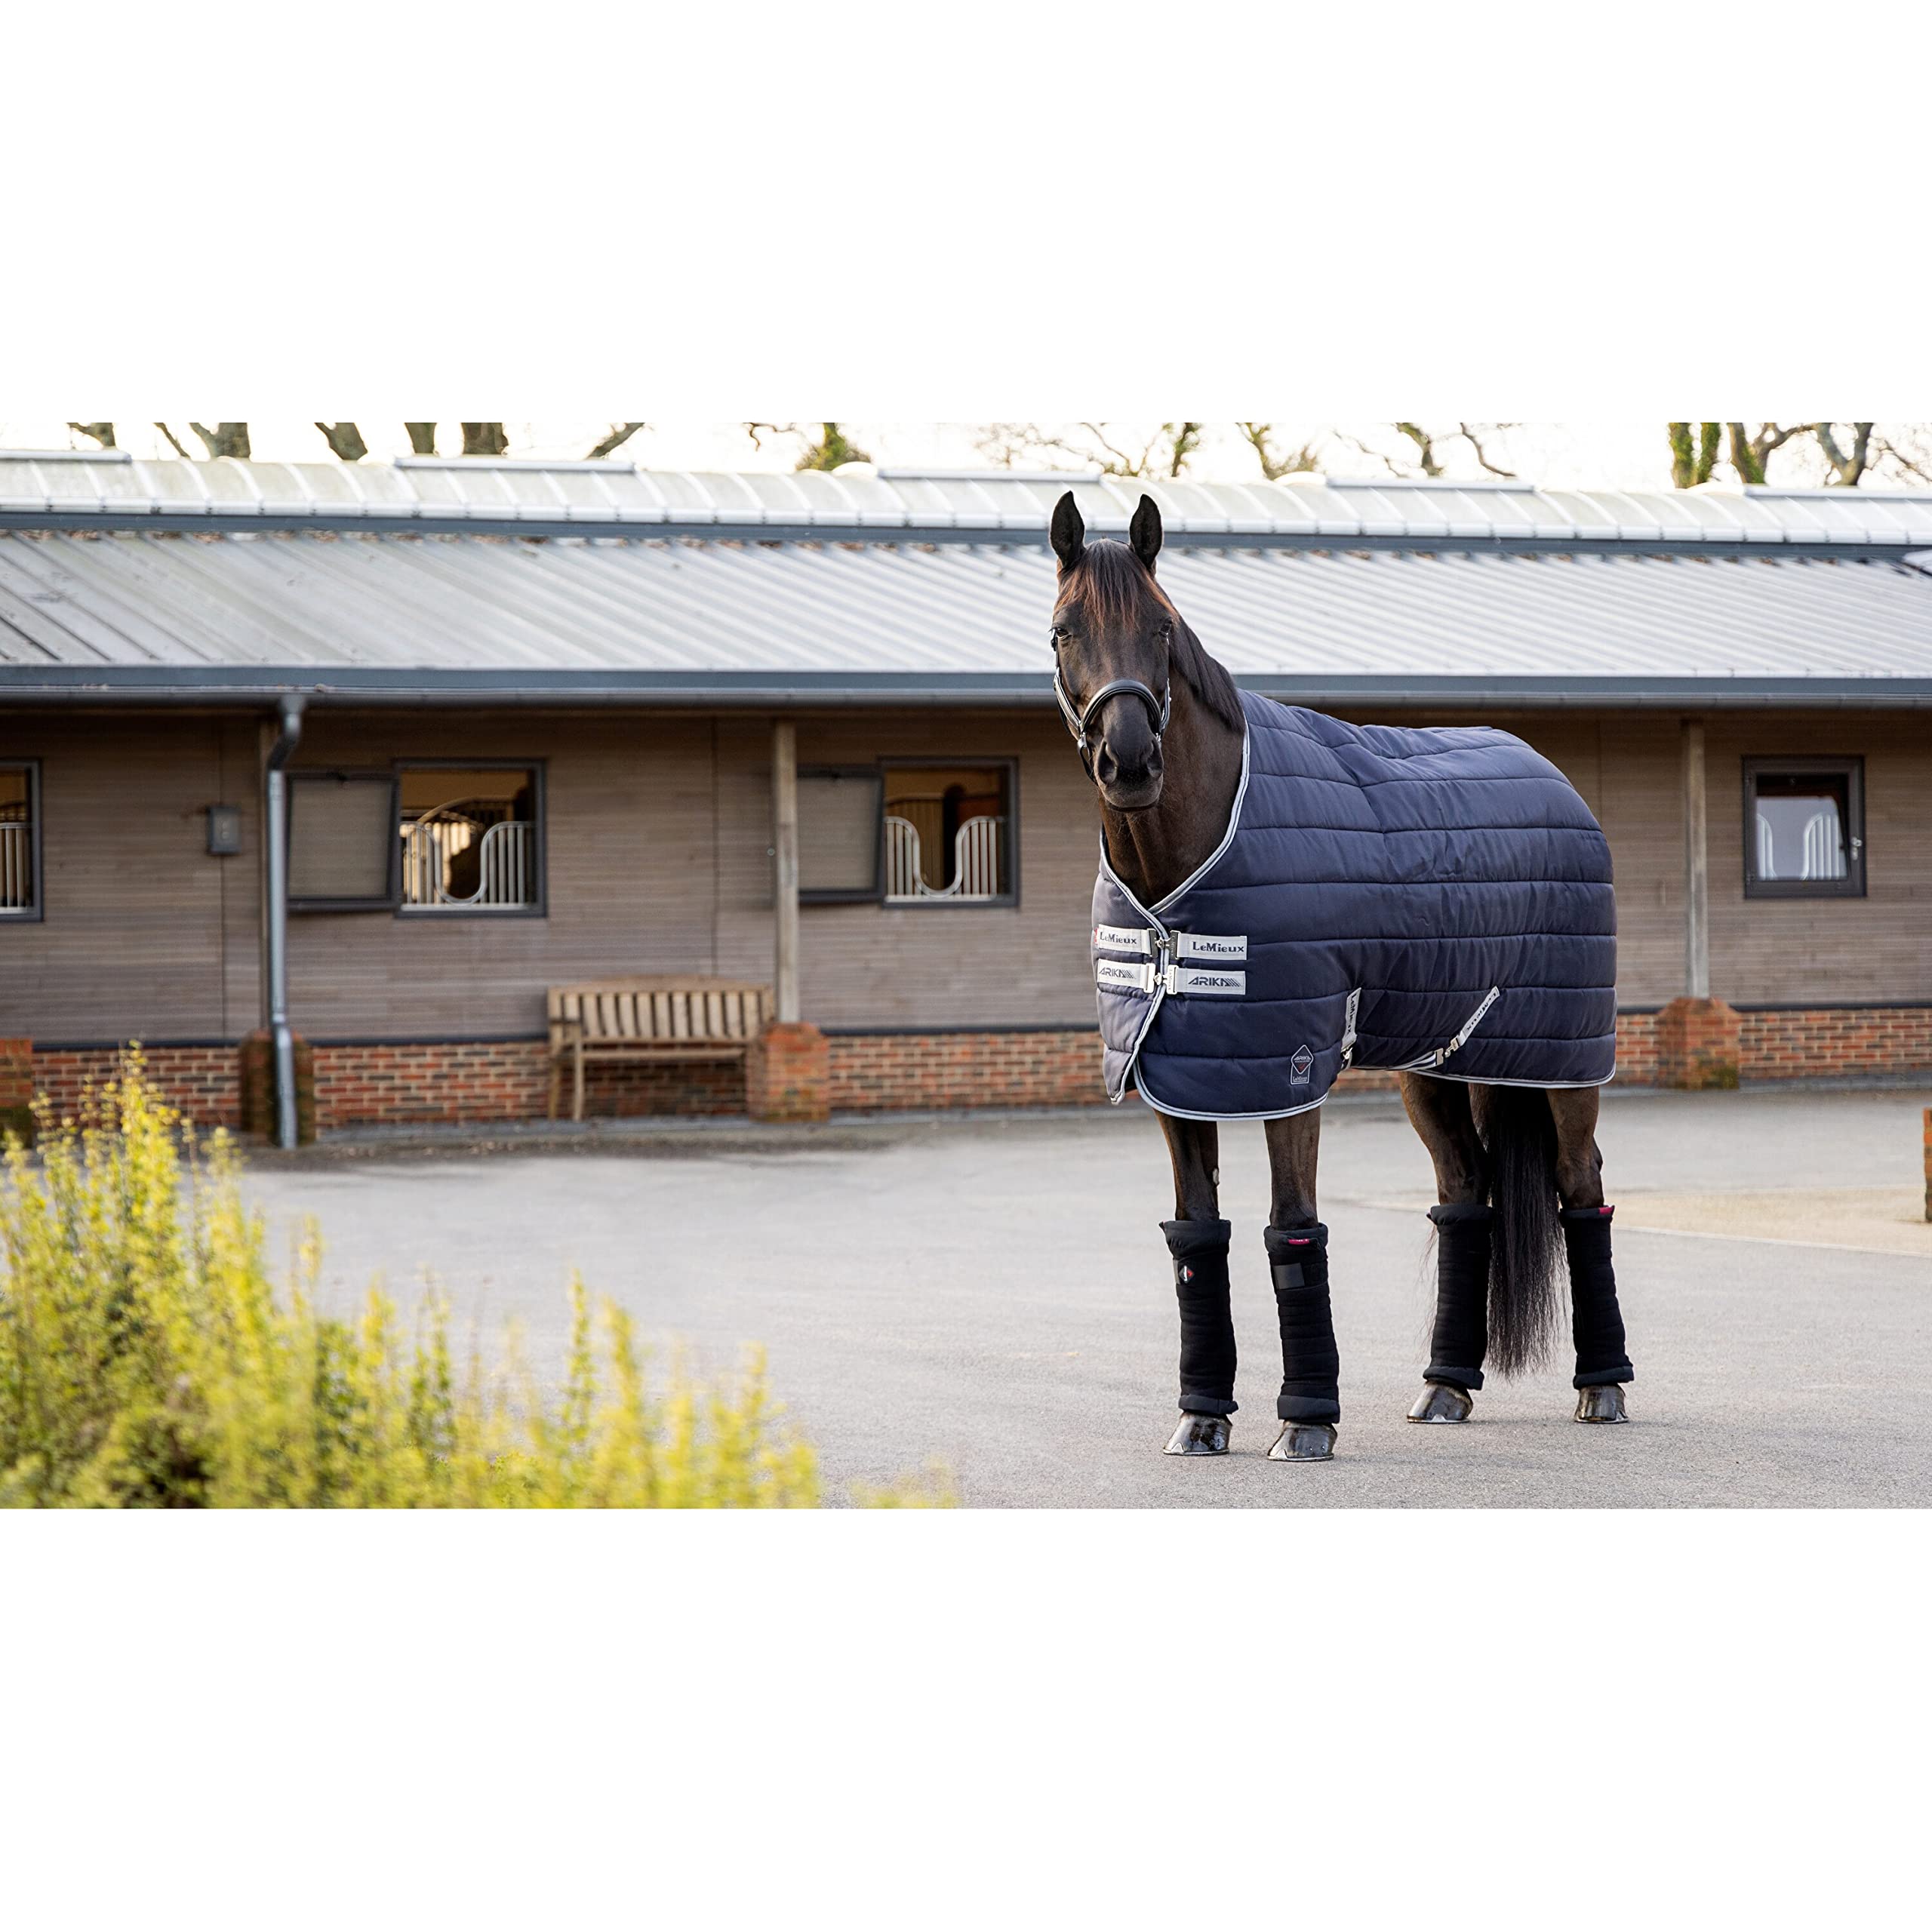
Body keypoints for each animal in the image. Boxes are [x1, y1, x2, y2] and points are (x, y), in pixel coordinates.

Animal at [1048, 490, 1634, 1462]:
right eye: (1063, 631)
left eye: (1162, 630)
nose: (1128, 763)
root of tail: (1559, 784)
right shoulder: (1176, 1075)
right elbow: (1196, 1234)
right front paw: (1201, 1416)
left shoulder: (1289, 1070)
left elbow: (1292, 1228)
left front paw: (1306, 1422)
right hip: (1440, 1062)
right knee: (1463, 1193)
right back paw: (1444, 1387)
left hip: (1562, 1061)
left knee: (1580, 1186)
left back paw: (1604, 1387)